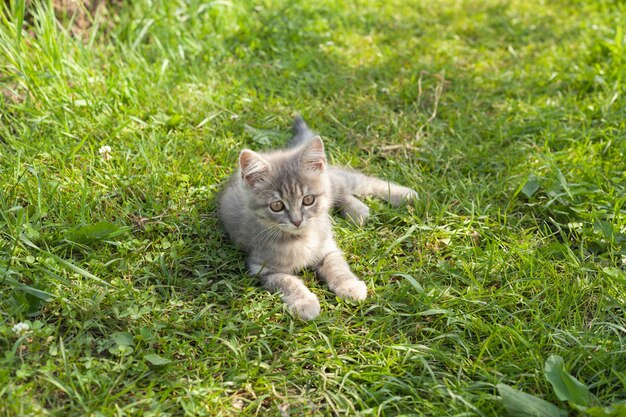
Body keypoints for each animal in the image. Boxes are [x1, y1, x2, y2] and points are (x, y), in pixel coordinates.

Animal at [217, 117, 416, 318]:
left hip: (335, 179)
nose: (297, 221)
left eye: (308, 200)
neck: (301, 238)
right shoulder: (262, 268)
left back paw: (404, 194)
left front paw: (349, 286)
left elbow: (337, 266)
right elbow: (287, 282)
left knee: (360, 182)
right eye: (277, 206)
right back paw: (358, 210)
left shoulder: (328, 247)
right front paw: (305, 302)